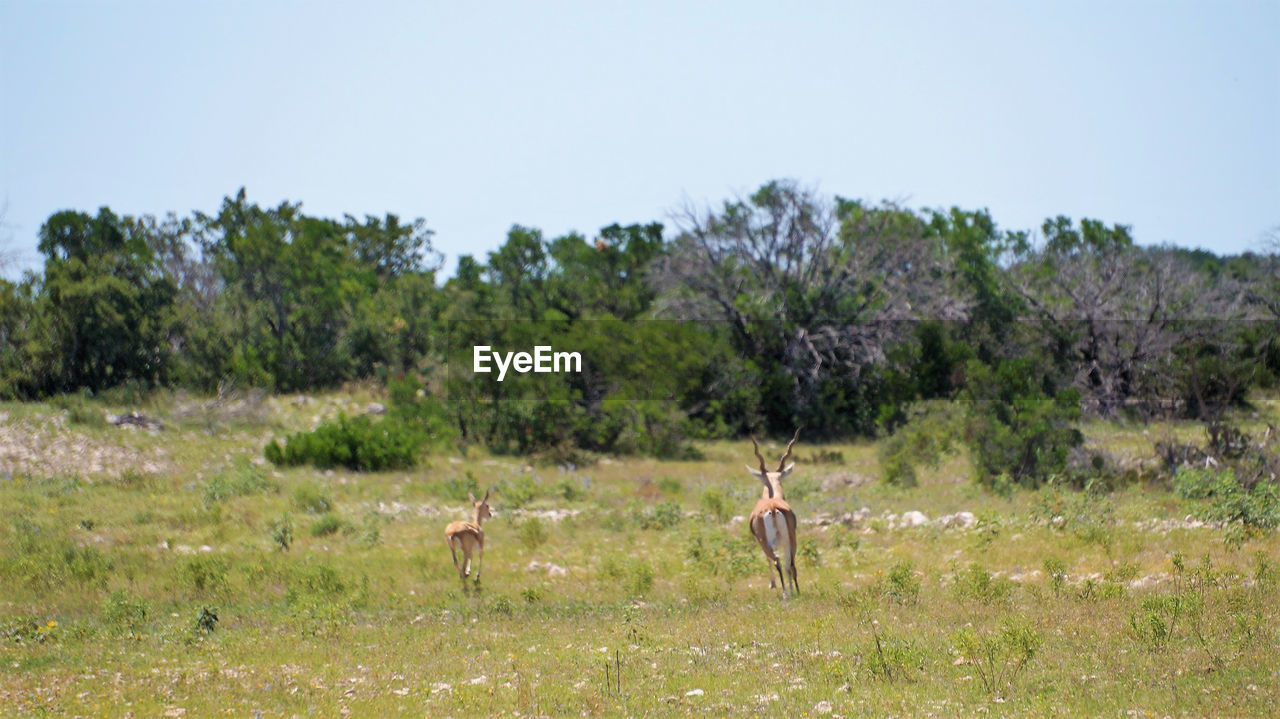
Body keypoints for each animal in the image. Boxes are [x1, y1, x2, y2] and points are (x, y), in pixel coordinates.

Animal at [747, 427, 793, 596]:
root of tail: (772, 508)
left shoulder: (761, 542)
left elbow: (767, 559)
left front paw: (772, 584)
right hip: (788, 539)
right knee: (789, 562)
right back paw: (792, 591)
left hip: (767, 542)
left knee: (776, 559)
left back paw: (785, 593)